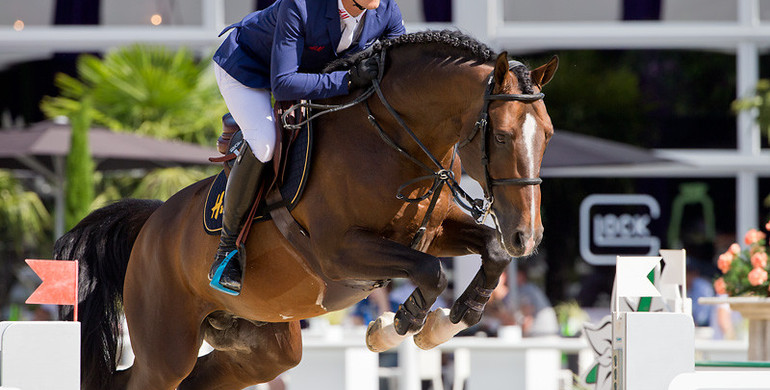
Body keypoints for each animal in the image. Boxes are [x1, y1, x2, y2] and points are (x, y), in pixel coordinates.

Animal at [55, 31, 560, 390]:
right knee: (140, 379)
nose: (530, 238)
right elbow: (431, 272)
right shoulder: (341, 252)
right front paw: (396, 327)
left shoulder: (432, 232)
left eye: (549, 135)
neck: (394, 141)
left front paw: (450, 321)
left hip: (262, 346)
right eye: (501, 137)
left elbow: (490, 249)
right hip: (166, 347)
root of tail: (152, 225)